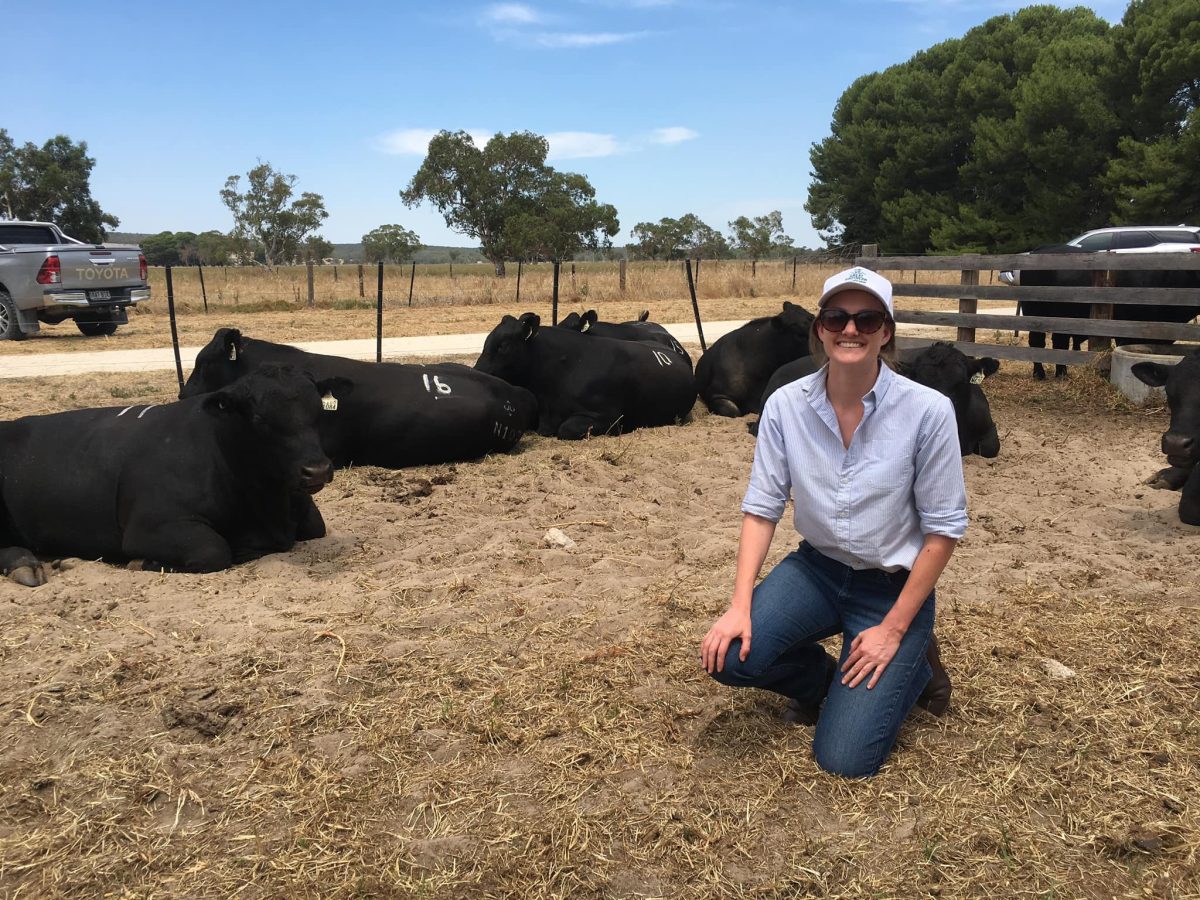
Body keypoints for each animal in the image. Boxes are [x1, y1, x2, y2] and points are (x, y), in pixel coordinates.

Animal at [2, 362, 338, 588]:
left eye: (319, 411)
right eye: (259, 418)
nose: (317, 470)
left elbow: (315, 527)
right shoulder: (150, 525)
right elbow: (214, 550)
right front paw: (141, 562)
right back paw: (24, 564)